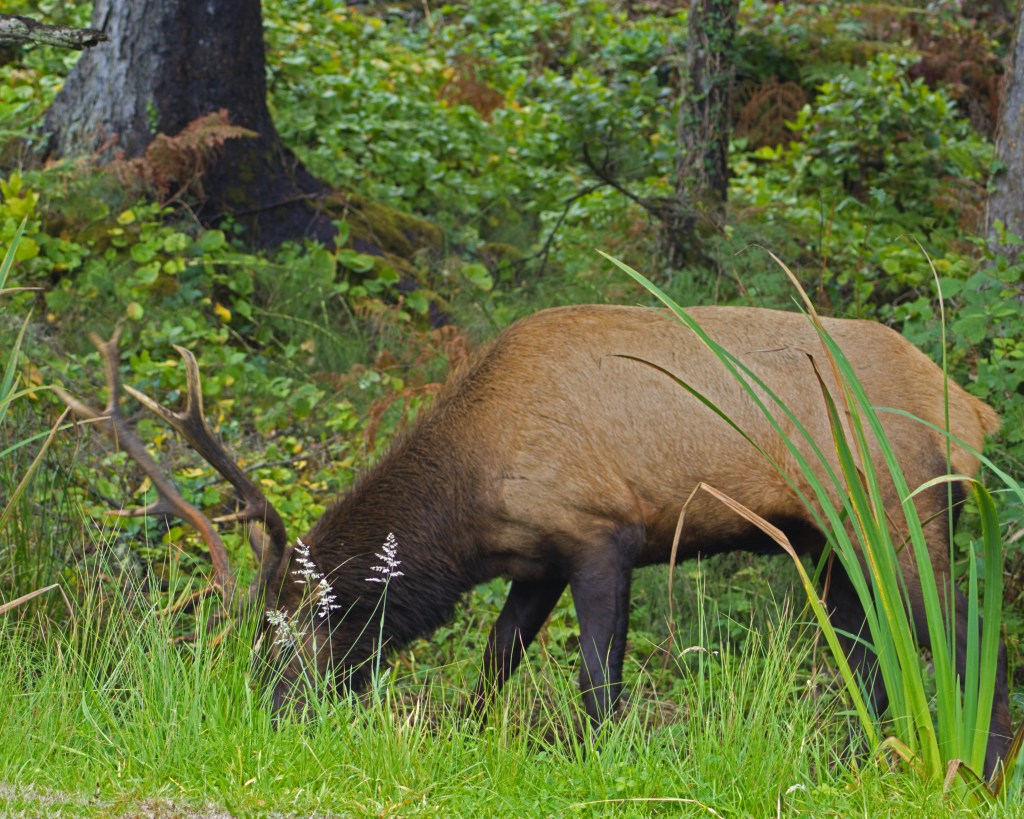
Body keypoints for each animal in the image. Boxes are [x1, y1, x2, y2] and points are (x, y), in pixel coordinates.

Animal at [58, 303, 1011, 776]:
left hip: (900, 510)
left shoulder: (602, 530)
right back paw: (853, 761)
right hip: (832, 540)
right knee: (873, 653)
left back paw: (982, 768)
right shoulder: (535, 561)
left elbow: (597, 680)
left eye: (285, 633)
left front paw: (602, 762)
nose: (259, 713)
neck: (467, 507)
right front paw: (477, 742)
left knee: (969, 634)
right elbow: (496, 659)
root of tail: (972, 412)